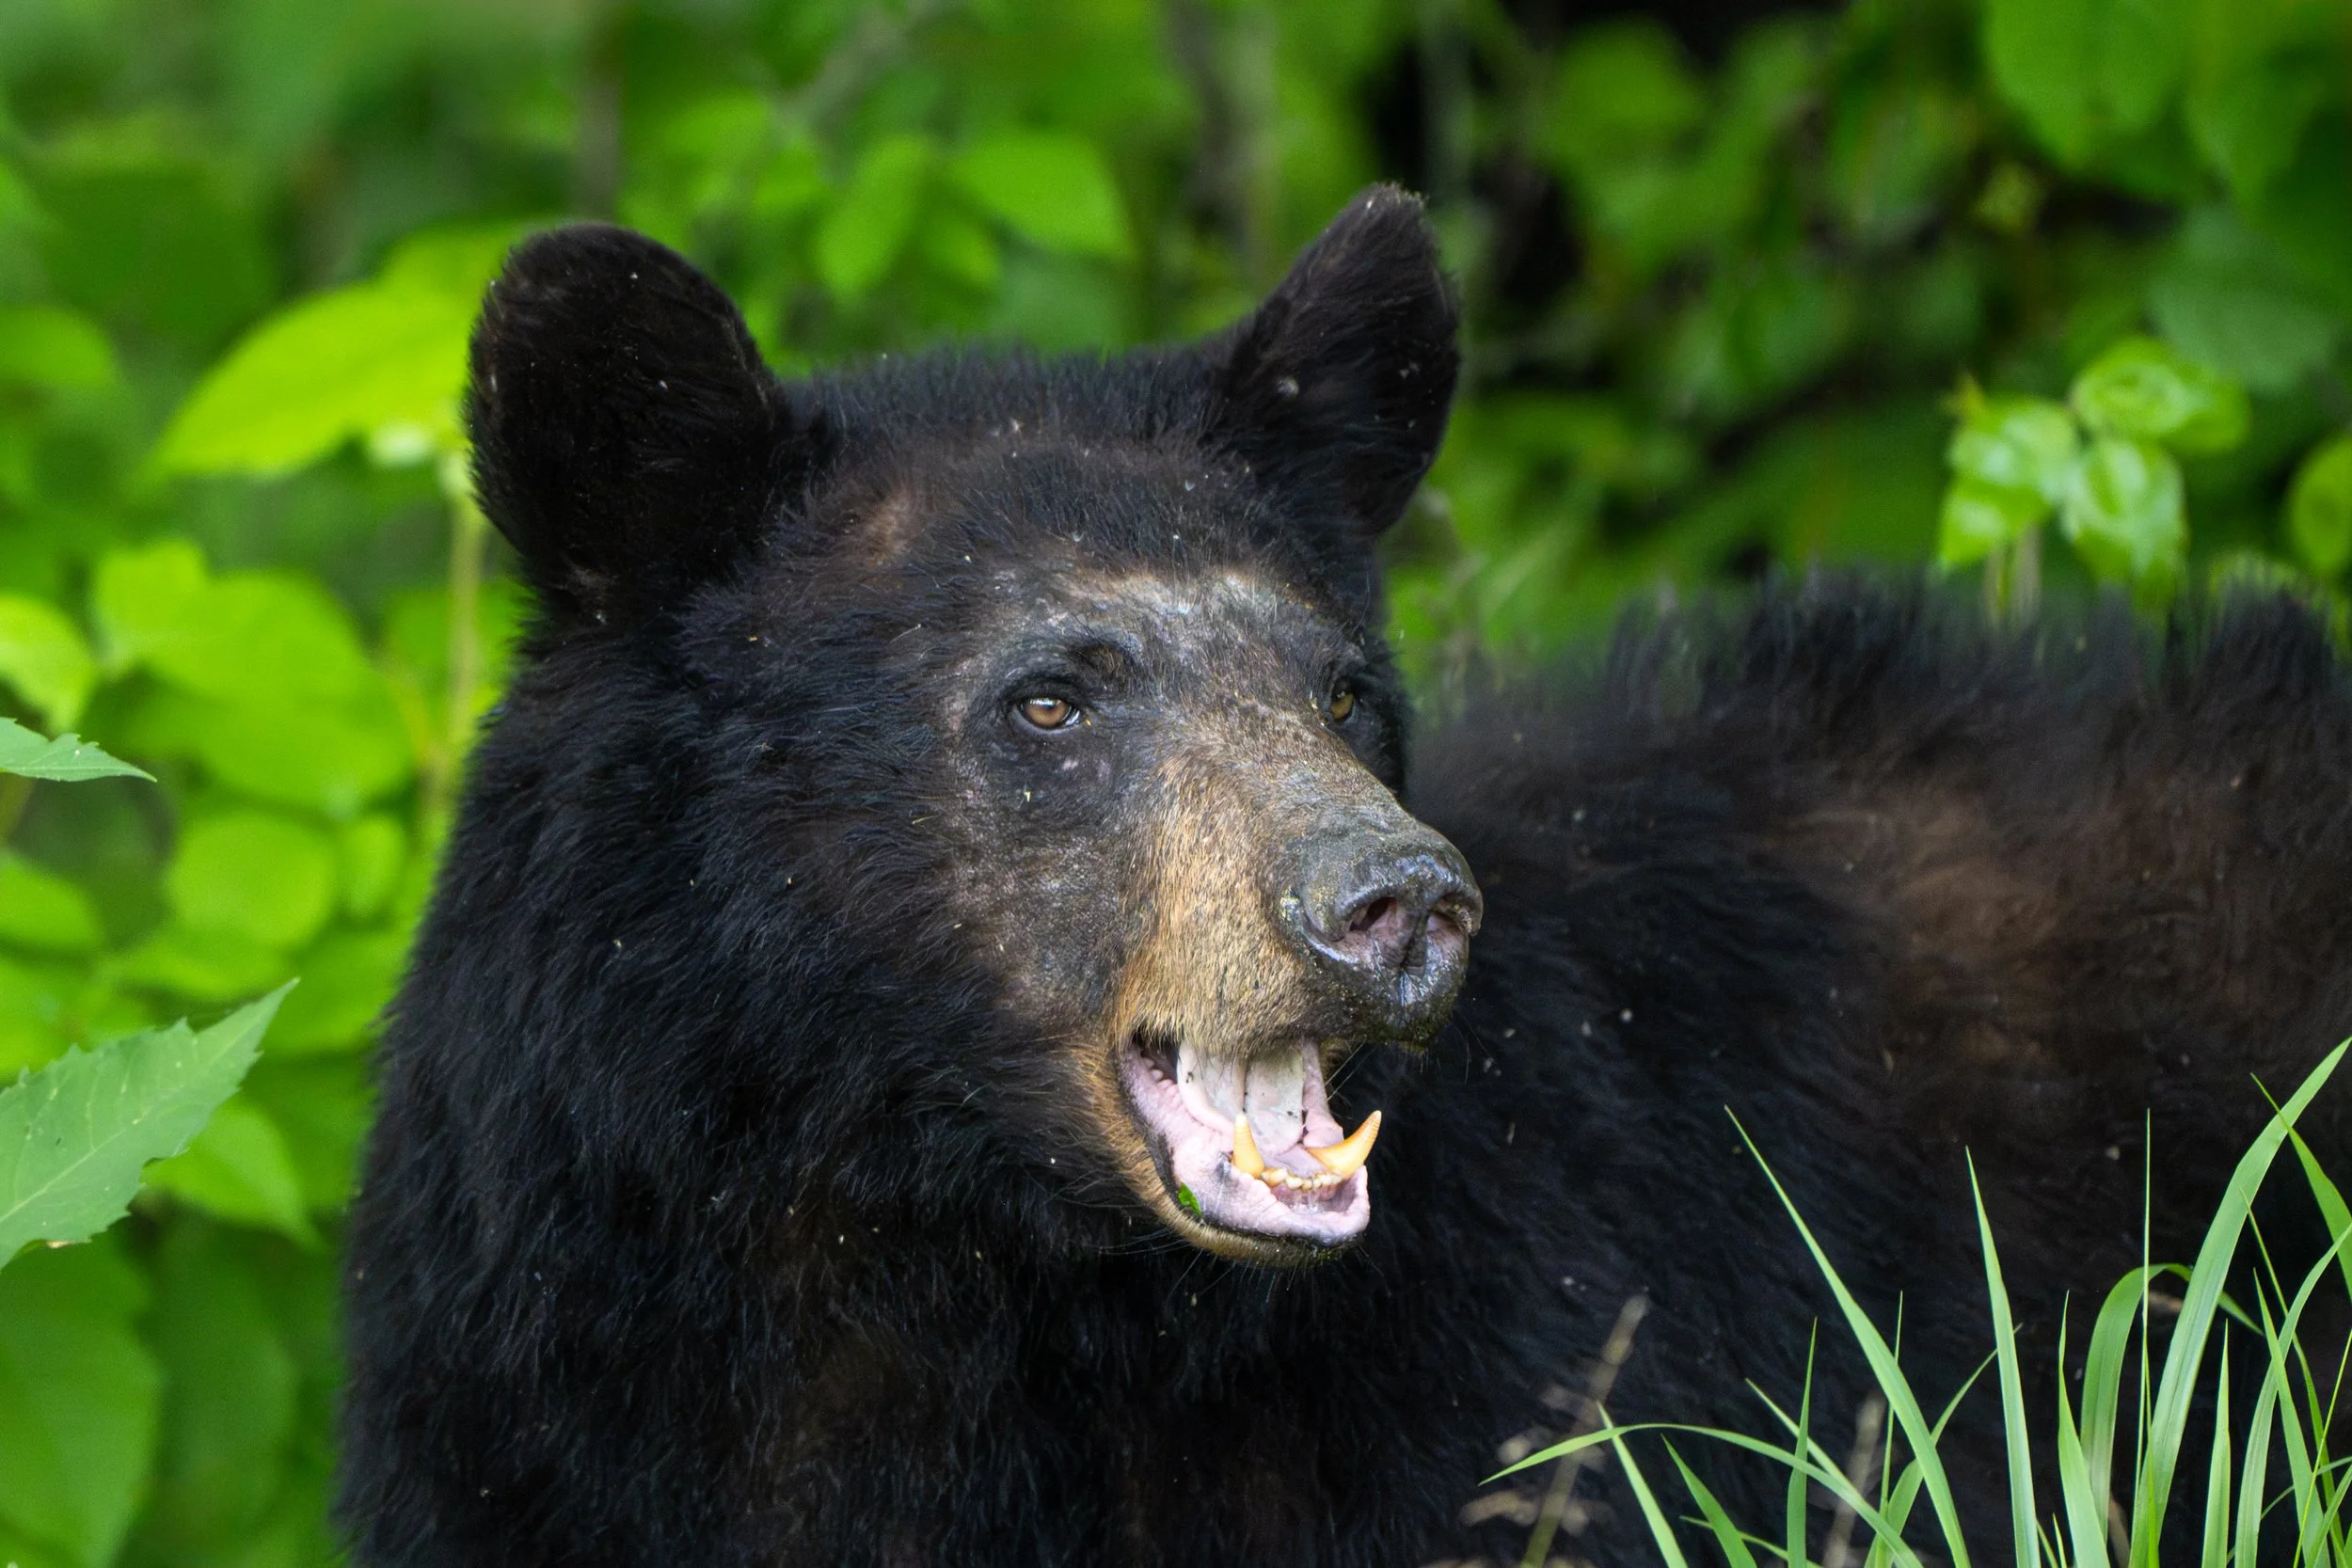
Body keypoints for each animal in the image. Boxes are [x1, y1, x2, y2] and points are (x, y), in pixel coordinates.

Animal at [339, 187, 2352, 1567]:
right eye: (1051, 697)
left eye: (1339, 688)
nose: (1395, 901)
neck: (911, 1275)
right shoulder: (534, 1409)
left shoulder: (1522, 1384)